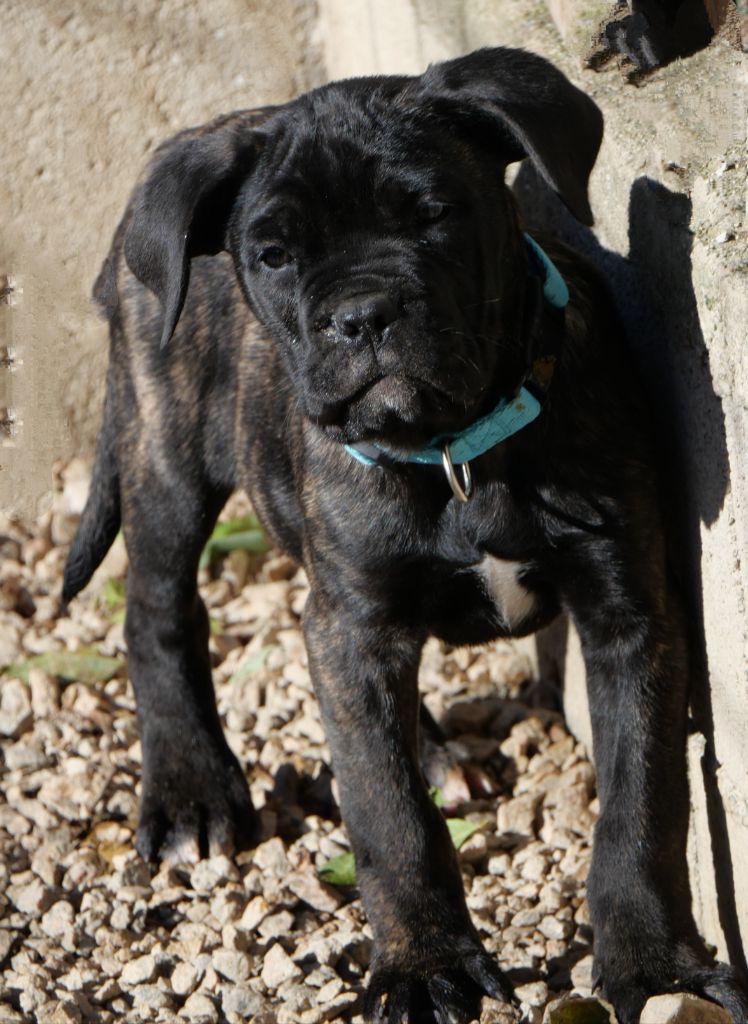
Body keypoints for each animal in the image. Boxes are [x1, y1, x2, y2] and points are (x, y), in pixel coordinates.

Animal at [65, 48, 745, 1024]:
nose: (364, 314)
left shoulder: (630, 613)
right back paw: (192, 790)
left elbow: (641, 801)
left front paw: (652, 965)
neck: (456, 451)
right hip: (165, 450)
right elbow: (389, 814)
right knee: (157, 607)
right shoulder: (351, 620)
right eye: (274, 256)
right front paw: (423, 964)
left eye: (435, 216)